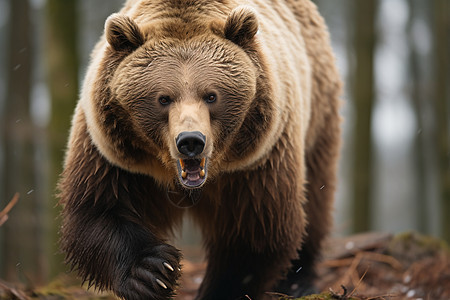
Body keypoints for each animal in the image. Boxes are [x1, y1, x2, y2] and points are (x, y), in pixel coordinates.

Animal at [59, 0, 342, 298]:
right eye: (163, 98)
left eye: (211, 95)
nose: (191, 141)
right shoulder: (115, 156)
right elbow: (98, 210)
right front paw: (152, 271)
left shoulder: (256, 164)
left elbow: (255, 232)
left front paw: (220, 287)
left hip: (317, 110)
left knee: (315, 197)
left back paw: (298, 281)